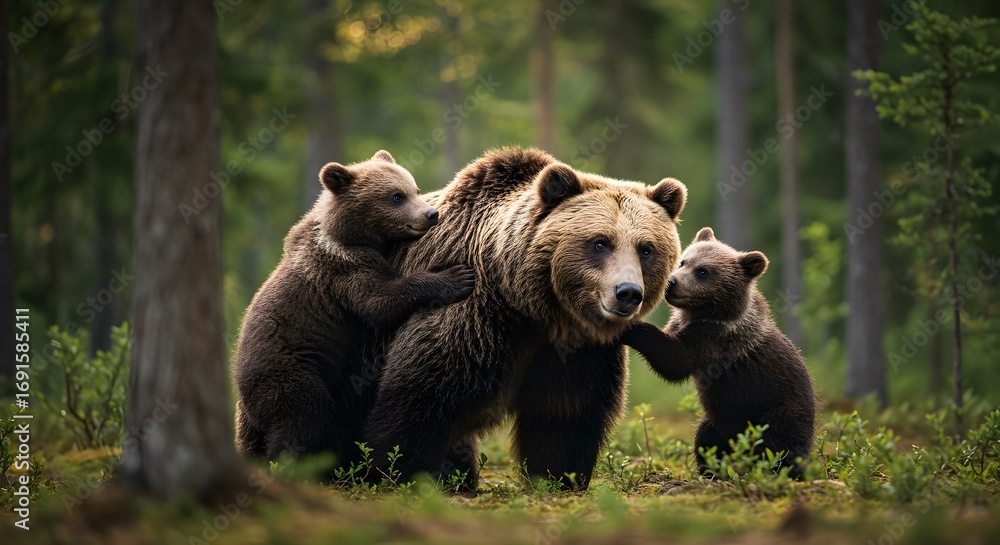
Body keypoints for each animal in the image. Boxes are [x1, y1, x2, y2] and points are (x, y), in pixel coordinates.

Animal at [233, 150, 476, 471]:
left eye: (415, 189)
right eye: (396, 196)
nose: (431, 214)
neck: (348, 234)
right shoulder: (343, 271)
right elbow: (380, 302)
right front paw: (457, 276)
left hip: (250, 415)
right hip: (288, 372)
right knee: (302, 418)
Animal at [363, 147, 688, 490]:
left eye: (646, 249)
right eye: (600, 242)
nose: (627, 293)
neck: (536, 309)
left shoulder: (575, 354)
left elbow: (563, 417)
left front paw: (558, 477)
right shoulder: (473, 318)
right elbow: (421, 400)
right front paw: (406, 474)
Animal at [621, 227, 816, 478]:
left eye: (703, 271)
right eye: (684, 261)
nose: (671, 282)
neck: (702, 313)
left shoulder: (716, 342)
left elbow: (675, 359)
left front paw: (633, 327)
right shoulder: (683, 325)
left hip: (777, 411)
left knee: (778, 447)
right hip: (719, 420)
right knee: (706, 440)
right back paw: (710, 472)